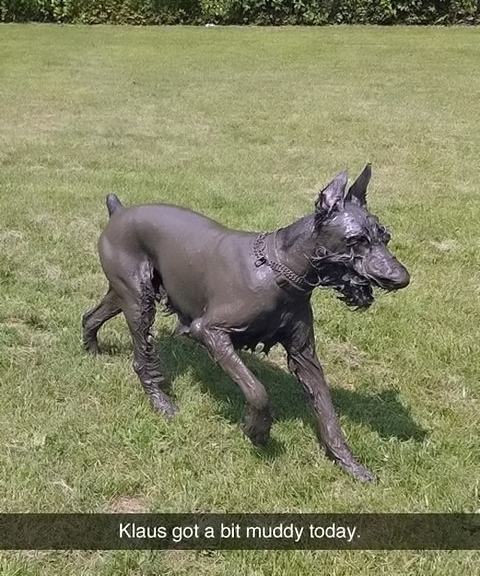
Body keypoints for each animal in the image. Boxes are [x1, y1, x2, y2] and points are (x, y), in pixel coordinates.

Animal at [82, 165, 408, 482]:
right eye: (356, 240)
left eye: (385, 237)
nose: (401, 278)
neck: (278, 271)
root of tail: (119, 211)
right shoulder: (209, 331)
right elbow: (257, 391)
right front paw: (257, 430)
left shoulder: (304, 356)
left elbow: (327, 411)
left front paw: (349, 463)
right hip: (139, 303)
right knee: (142, 359)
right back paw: (161, 402)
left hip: (126, 294)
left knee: (90, 316)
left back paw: (91, 349)